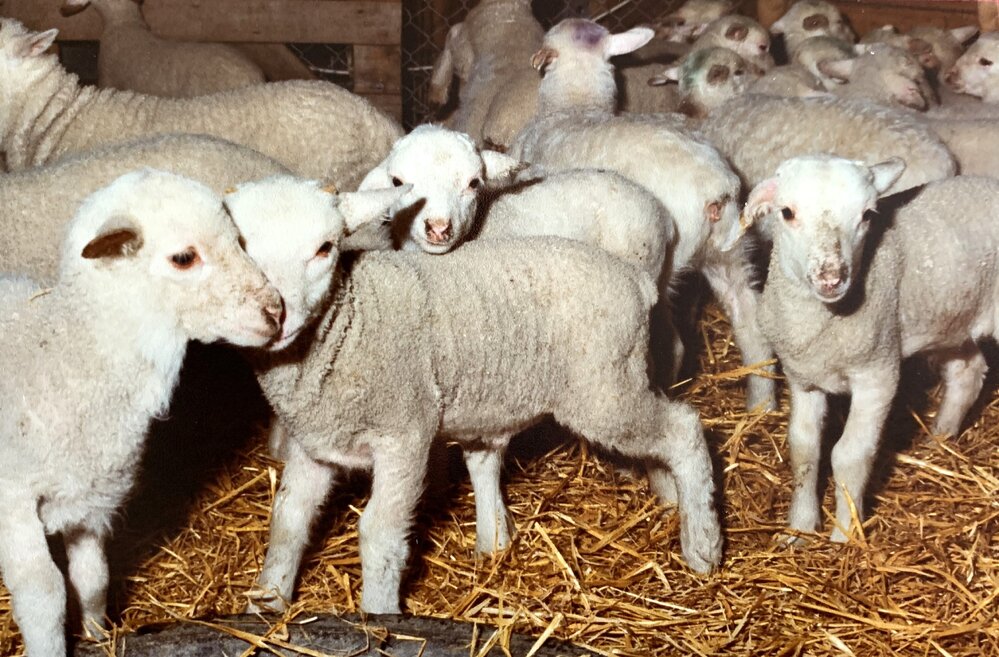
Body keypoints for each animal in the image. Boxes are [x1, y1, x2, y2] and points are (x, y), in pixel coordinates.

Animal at [0, 168, 282, 657]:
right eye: (184, 257)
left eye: (239, 240)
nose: (275, 311)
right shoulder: (13, 499)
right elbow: (45, 596)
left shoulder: (89, 494)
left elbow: (93, 579)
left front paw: (98, 636)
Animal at [228, 175, 722, 615]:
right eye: (240, 248)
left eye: (325, 248)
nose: (277, 315)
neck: (349, 319)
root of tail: (636, 280)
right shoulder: (316, 443)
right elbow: (287, 520)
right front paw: (266, 605)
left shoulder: (405, 437)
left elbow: (380, 534)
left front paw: (379, 616)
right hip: (591, 383)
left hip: (603, 390)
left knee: (683, 429)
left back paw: (703, 544)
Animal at [512, 18, 777, 413]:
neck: (573, 106)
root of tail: (716, 186)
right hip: (729, 253)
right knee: (751, 323)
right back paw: (763, 403)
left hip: (664, 266)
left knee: (676, 346)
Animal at [744, 155, 999, 543]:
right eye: (786, 212)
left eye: (867, 215)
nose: (831, 277)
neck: (826, 319)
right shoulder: (803, 376)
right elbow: (804, 449)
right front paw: (800, 528)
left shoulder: (876, 374)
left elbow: (848, 454)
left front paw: (846, 535)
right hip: (950, 317)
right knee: (967, 374)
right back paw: (938, 440)